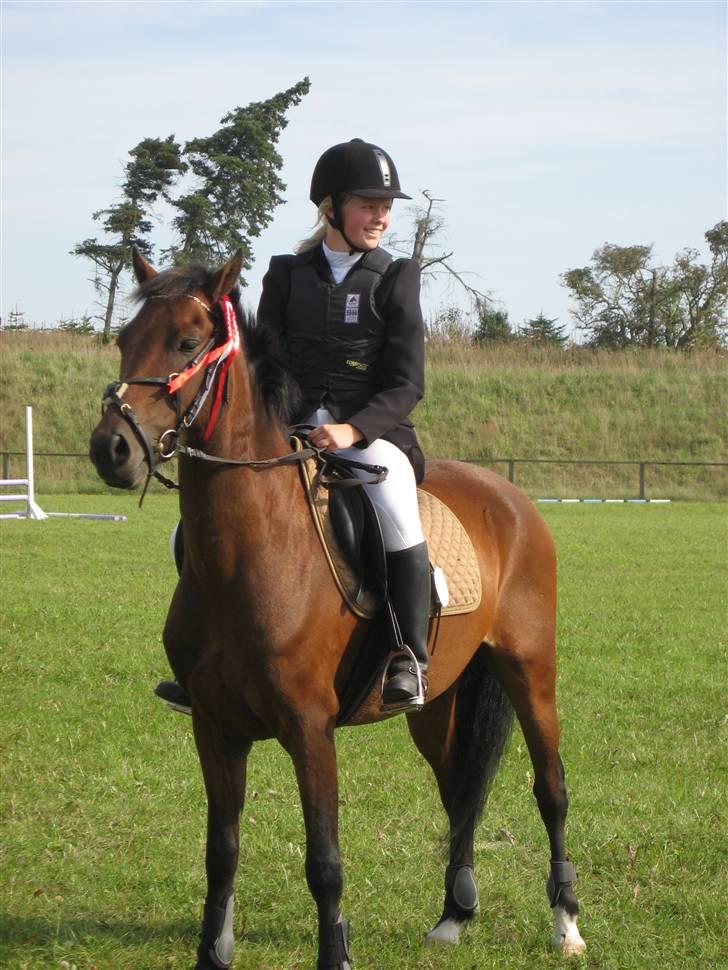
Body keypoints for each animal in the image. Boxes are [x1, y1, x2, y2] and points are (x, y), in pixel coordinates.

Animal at [89, 248, 586, 969]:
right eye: (125, 339)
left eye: (186, 341)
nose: (111, 449)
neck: (249, 551)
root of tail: (510, 498)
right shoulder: (213, 726)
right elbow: (221, 853)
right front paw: (214, 951)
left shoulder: (308, 726)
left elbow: (324, 861)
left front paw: (336, 954)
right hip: (436, 705)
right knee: (459, 792)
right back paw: (453, 916)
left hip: (529, 672)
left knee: (550, 788)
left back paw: (566, 923)